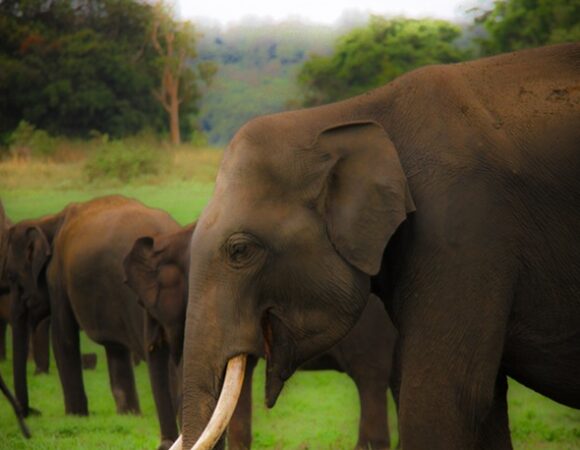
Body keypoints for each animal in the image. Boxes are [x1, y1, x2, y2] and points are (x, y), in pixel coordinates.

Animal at [2, 196, 184, 450]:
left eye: (11, 276)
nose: (32, 413)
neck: (49, 221)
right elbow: (115, 349)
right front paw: (128, 414)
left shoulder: (57, 277)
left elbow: (63, 338)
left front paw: (76, 416)